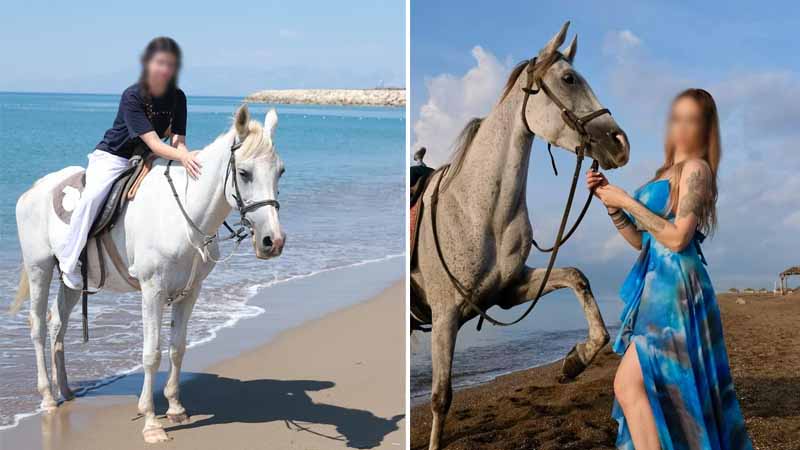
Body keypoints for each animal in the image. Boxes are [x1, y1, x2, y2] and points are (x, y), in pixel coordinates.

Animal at [10, 104, 286, 443]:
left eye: (280, 172)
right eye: (244, 173)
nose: (273, 241)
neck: (183, 216)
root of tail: (34, 190)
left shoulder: (190, 292)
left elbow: (177, 347)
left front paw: (176, 407)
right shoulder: (153, 291)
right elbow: (151, 353)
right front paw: (152, 422)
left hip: (71, 279)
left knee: (57, 323)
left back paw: (66, 390)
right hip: (40, 267)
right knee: (37, 325)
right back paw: (48, 396)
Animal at [410, 22, 630, 449]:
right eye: (569, 78)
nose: (620, 144)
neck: (476, 211)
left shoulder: (509, 292)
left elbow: (577, 278)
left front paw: (575, 360)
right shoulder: (445, 317)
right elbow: (441, 396)